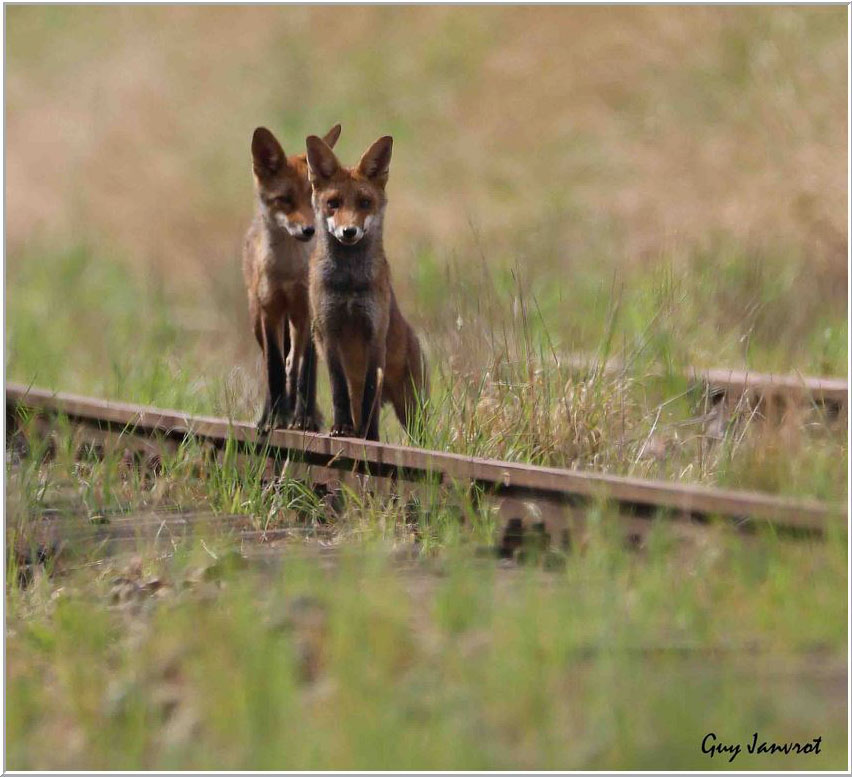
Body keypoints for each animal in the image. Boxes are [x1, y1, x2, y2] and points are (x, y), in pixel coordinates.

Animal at [243, 124, 340, 434]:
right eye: (285, 199)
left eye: (314, 198)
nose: (309, 230)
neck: (288, 271)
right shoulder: (270, 312)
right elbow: (274, 368)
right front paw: (275, 418)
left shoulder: (307, 311)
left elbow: (304, 369)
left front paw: (304, 419)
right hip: (257, 321)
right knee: (275, 365)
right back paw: (271, 414)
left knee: (294, 362)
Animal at [304, 132, 426, 436]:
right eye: (333, 203)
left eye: (364, 203)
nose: (349, 231)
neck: (349, 282)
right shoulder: (328, 333)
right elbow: (337, 389)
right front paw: (340, 426)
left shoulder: (375, 333)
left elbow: (371, 389)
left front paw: (369, 438)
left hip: (412, 410)